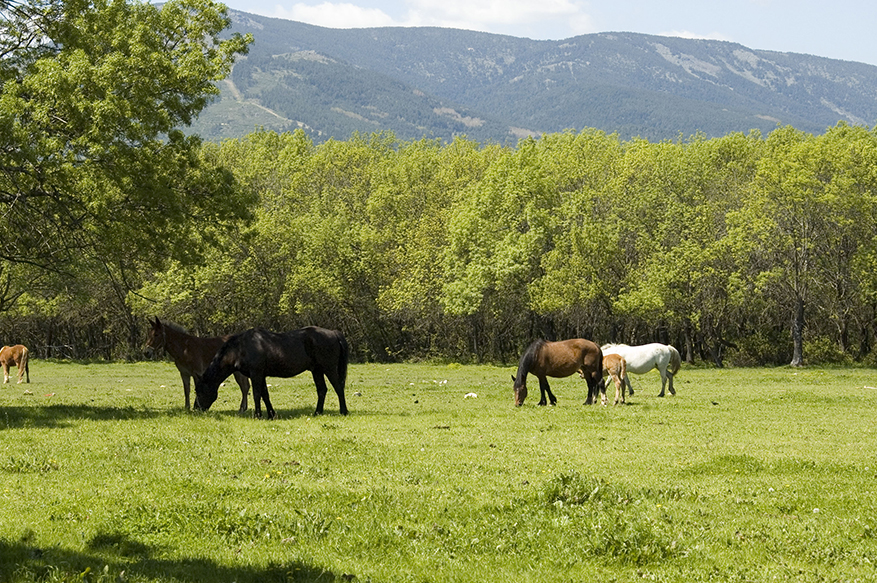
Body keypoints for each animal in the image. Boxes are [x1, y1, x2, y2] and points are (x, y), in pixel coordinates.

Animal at [194, 328, 350, 420]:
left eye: (199, 391)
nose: (196, 409)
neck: (240, 349)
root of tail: (334, 333)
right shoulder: (261, 375)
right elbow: (265, 395)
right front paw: (271, 414)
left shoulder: (256, 374)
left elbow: (257, 394)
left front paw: (258, 415)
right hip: (317, 370)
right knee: (322, 390)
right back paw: (317, 412)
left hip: (329, 368)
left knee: (338, 387)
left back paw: (344, 411)